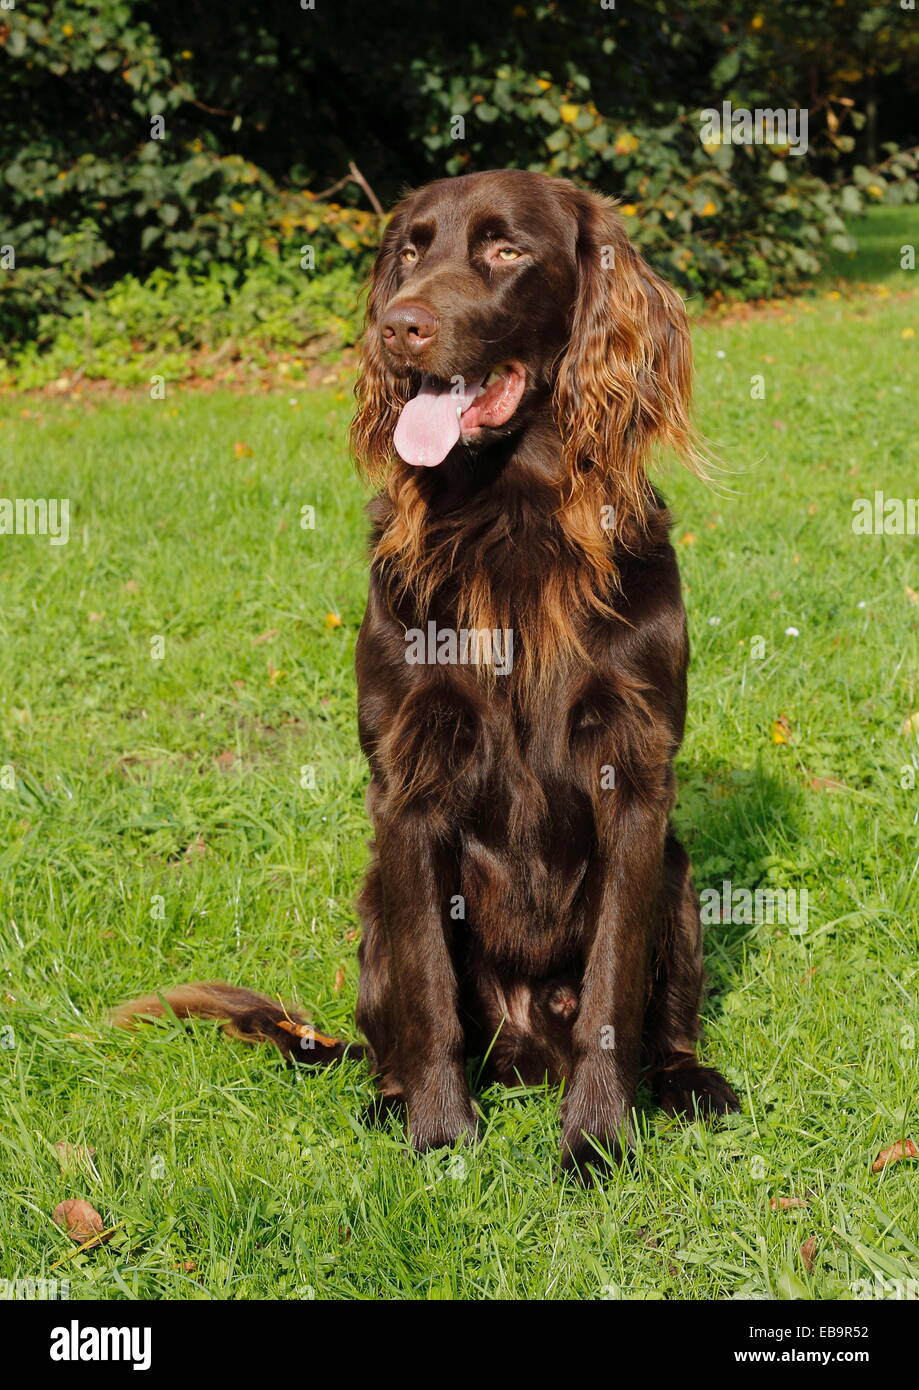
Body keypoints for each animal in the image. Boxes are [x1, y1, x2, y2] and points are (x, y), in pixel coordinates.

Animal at [120, 173, 739, 1173]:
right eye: (409, 251)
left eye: (506, 250)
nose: (396, 327)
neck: (511, 521)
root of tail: (526, 1050)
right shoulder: (407, 781)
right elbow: (430, 991)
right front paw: (443, 1137)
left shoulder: (637, 776)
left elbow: (612, 990)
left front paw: (596, 1141)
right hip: (374, 898)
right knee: (395, 1027)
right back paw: (390, 1096)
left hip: (677, 878)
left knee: (662, 1024)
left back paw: (688, 1083)